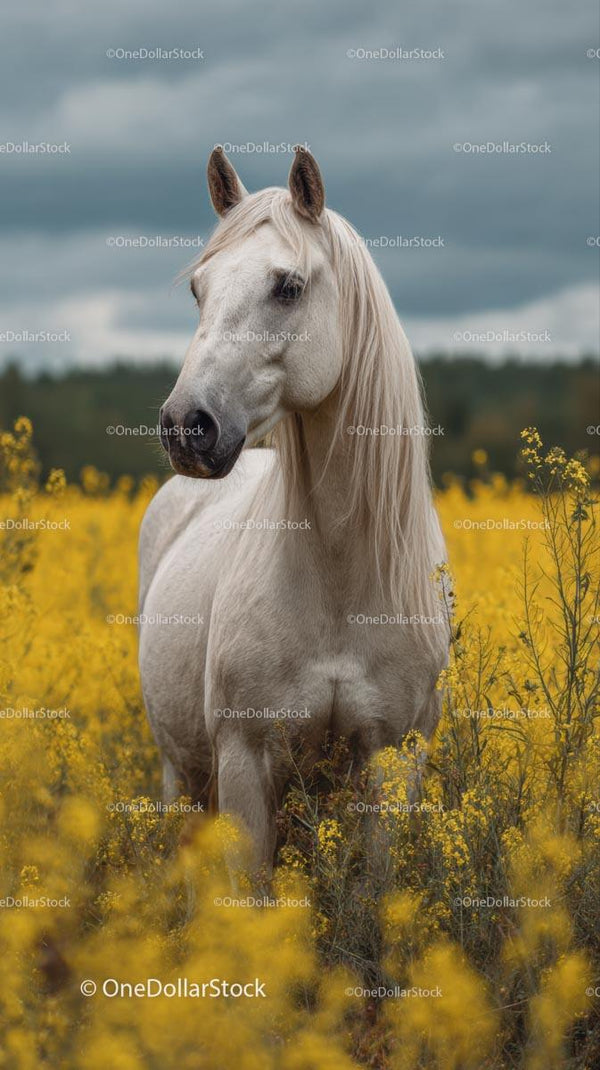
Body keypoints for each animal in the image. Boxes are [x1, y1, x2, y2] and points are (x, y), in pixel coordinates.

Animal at [138, 146, 450, 878]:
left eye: (287, 287)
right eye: (198, 289)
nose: (185, 426)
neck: (340, 576)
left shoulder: (390, 765)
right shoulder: (244, 762)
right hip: (179, 774)